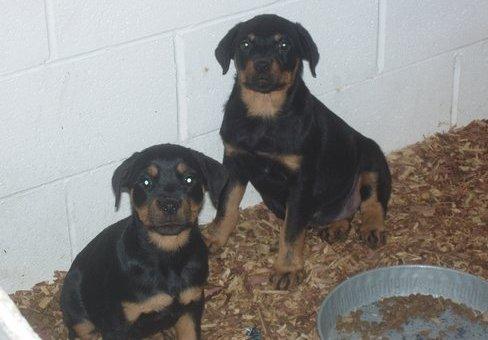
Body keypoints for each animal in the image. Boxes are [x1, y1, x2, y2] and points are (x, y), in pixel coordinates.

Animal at [61, 144, 227, 340]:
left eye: (189, 179)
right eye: (145, 182)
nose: (169, 205)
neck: (167, 253)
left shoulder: (191, 305)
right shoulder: (118, 324)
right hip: (77, 309)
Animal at [208, 13, 390, 290]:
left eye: (284, 45)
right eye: (245, 45)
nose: (262, 65)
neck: (264, 113)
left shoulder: (300, 180)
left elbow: (291, 231)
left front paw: (287, 269)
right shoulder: (234, 162)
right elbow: (226, 207)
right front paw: (215, 239)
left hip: (371, 157)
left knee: (372, 200)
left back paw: (372, 228)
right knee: (344, 211)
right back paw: (337, 225)